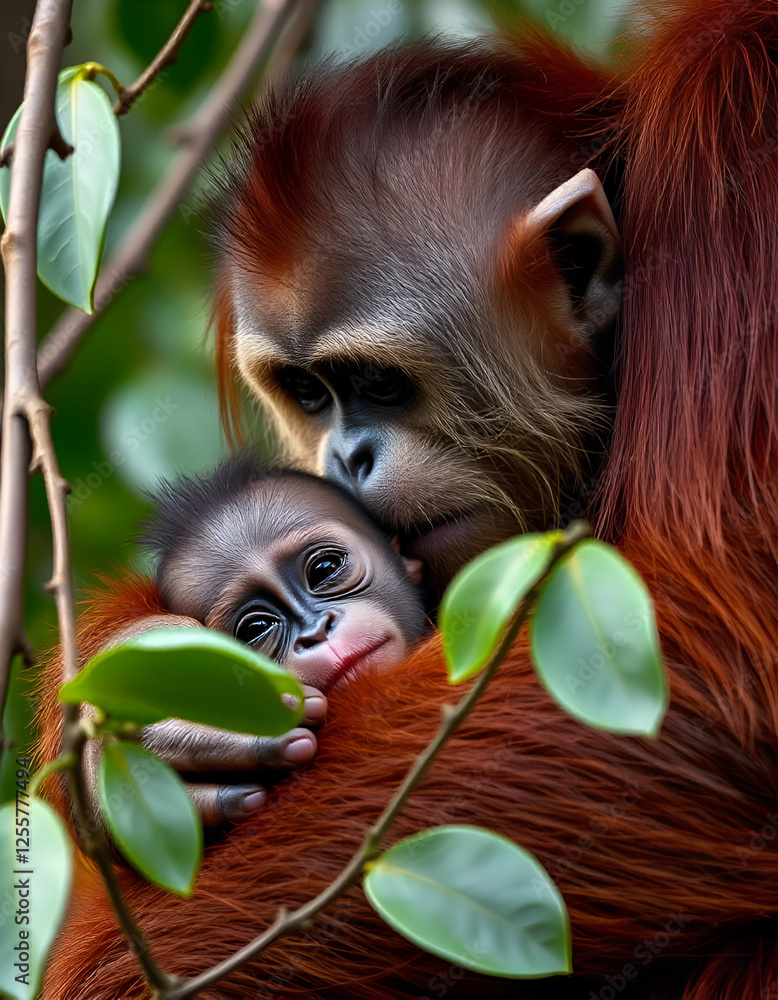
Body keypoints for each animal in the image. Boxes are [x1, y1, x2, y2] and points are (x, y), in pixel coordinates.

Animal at [39, 0, 778, 996]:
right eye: (309, 393)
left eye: (377, 383)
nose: (343, 455)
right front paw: (137, 688)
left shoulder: (737, 146)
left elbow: (711, 667)